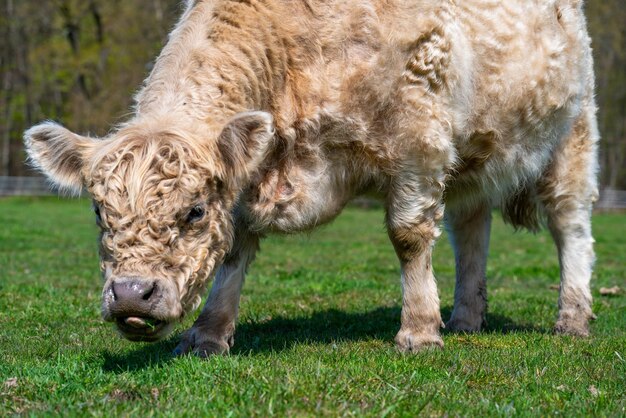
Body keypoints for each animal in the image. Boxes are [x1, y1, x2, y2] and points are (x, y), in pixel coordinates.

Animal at [25, 0, 600, 356]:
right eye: (99, 211)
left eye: (194, 211)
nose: (130, 295)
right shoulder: (250, 173)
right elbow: (235, 250)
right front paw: (209, 335)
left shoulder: (418, 140)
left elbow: (409, 237)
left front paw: (418, 330)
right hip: (472, 161)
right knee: (472, 230)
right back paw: (463, 317)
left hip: (573, 136)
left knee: (571, 228)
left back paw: (571, 319)